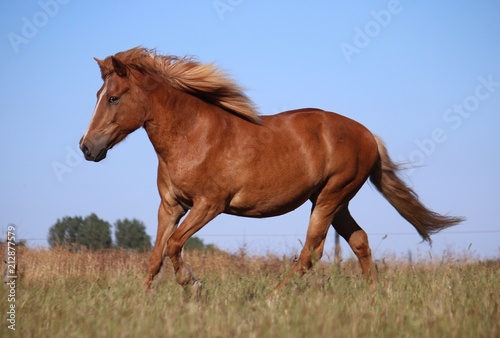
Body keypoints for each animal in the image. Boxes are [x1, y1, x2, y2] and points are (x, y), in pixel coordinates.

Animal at [79, 46, 464, 290]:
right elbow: (155, 257)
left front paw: (195, 285)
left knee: (312, 251)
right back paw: (374, 295)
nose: (87, 148)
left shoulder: (209, 205)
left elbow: (173, 246)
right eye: (97, 95)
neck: (193, 136)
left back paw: (273, 296)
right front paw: (141, 303)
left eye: (113, 97)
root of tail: (368, 134)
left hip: (331, 196)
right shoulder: (170, 205)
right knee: (359, 241)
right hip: (334, 201)